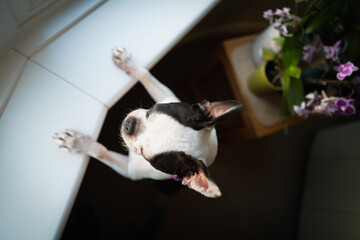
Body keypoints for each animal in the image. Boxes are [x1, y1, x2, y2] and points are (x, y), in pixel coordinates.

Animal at [54, 47, 242, 198]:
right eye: (152, 109)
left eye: (145, 154)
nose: (129, 125)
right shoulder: (166, 96)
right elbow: (147, 75)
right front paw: (129, 64)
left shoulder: (130, 170)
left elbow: (101, 152)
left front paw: (78, 143)